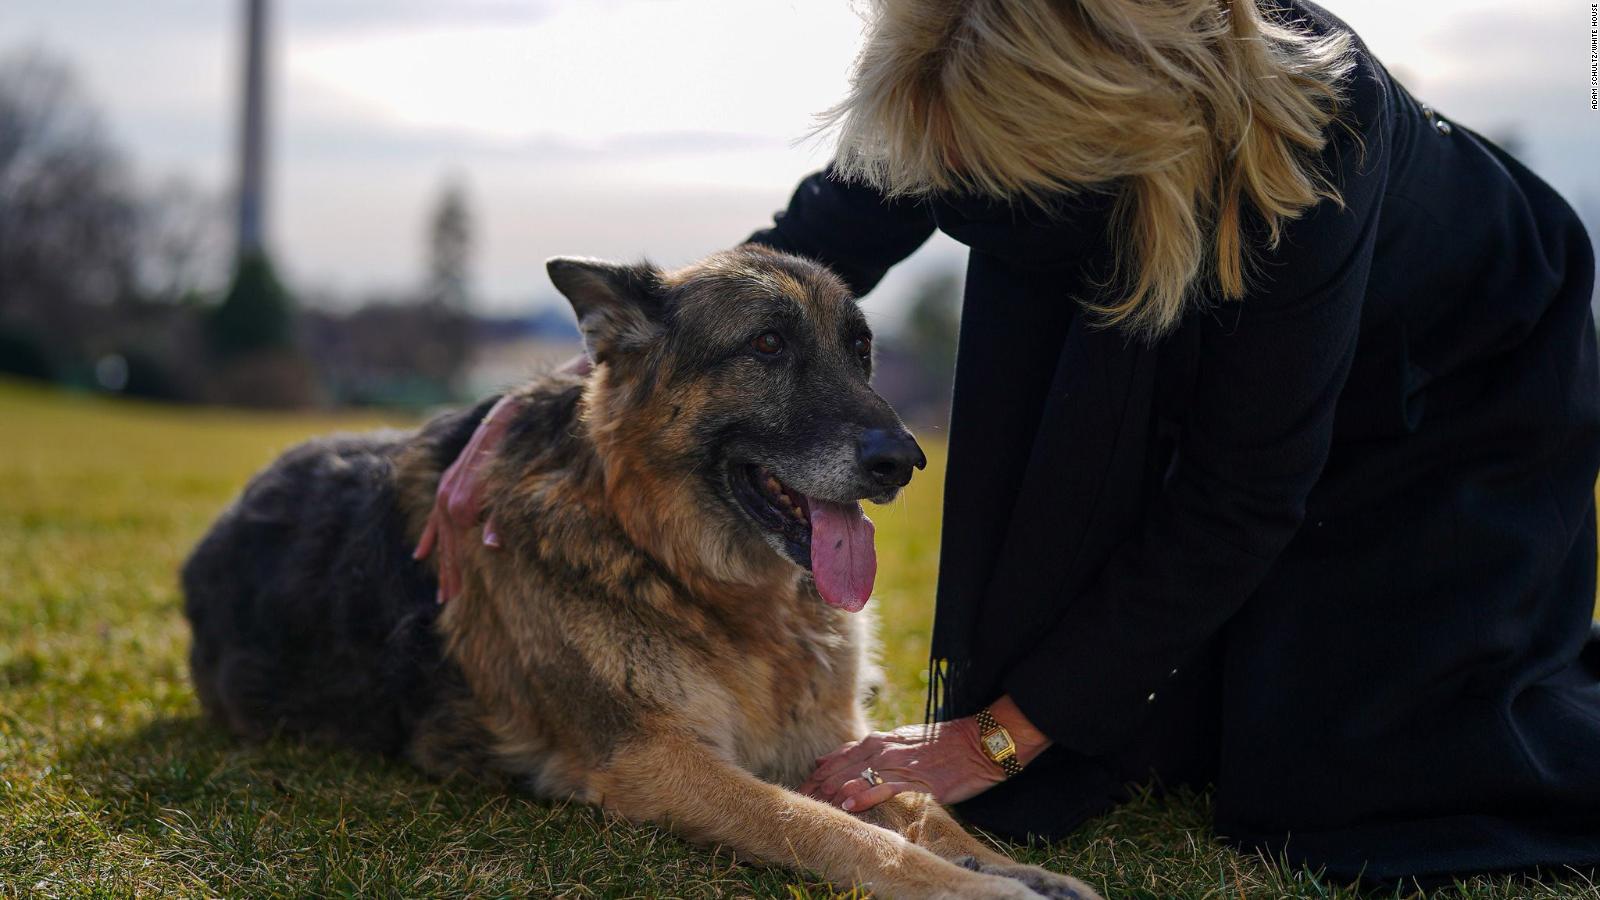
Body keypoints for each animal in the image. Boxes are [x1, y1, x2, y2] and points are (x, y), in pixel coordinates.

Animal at [178, 246, 1100, 896]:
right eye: (767, 345)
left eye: (862, 351)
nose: (903, 461)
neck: (675, 563)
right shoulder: (657, 761)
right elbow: (836, 831)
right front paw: (981, 891)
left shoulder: (832, 742)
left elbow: (923, 807)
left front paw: (1014, 869)